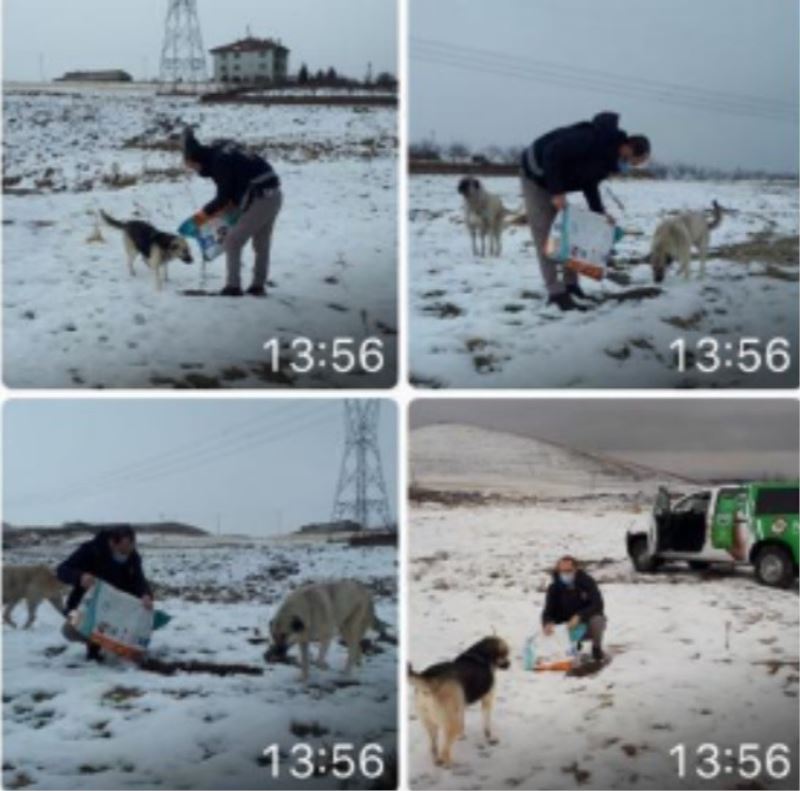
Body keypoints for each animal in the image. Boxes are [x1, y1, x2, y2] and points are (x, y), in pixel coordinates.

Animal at [410, 636, 510, 768]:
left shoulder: (460, 706)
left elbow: (463, 722)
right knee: (445, 752)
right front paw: (490, 738)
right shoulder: (487, 700)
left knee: (434, 748)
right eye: (505, 653)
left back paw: (438, 761)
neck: (480, 655)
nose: (509, 664)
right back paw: (451, 765)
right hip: (451, 723)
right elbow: (487, 725)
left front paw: (462, 735)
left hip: (430, 723)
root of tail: (429, 679)